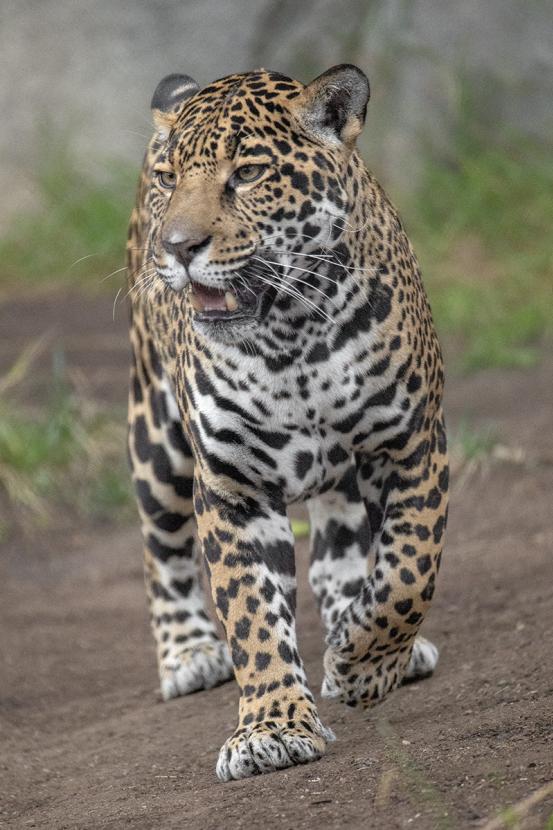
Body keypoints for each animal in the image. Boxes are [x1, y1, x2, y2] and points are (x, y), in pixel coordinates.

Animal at [126, 64, 449, 783]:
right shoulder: (232, 488)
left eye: (246, 173)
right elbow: (250, 612)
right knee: (161, 549)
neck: (290, 334)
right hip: (154, 436)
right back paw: (189, 654)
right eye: (168, 177)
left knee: (342, 557)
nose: (177, 248)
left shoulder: (411, 444)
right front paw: (270, 727)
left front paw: (365, 663)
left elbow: (408, 570)